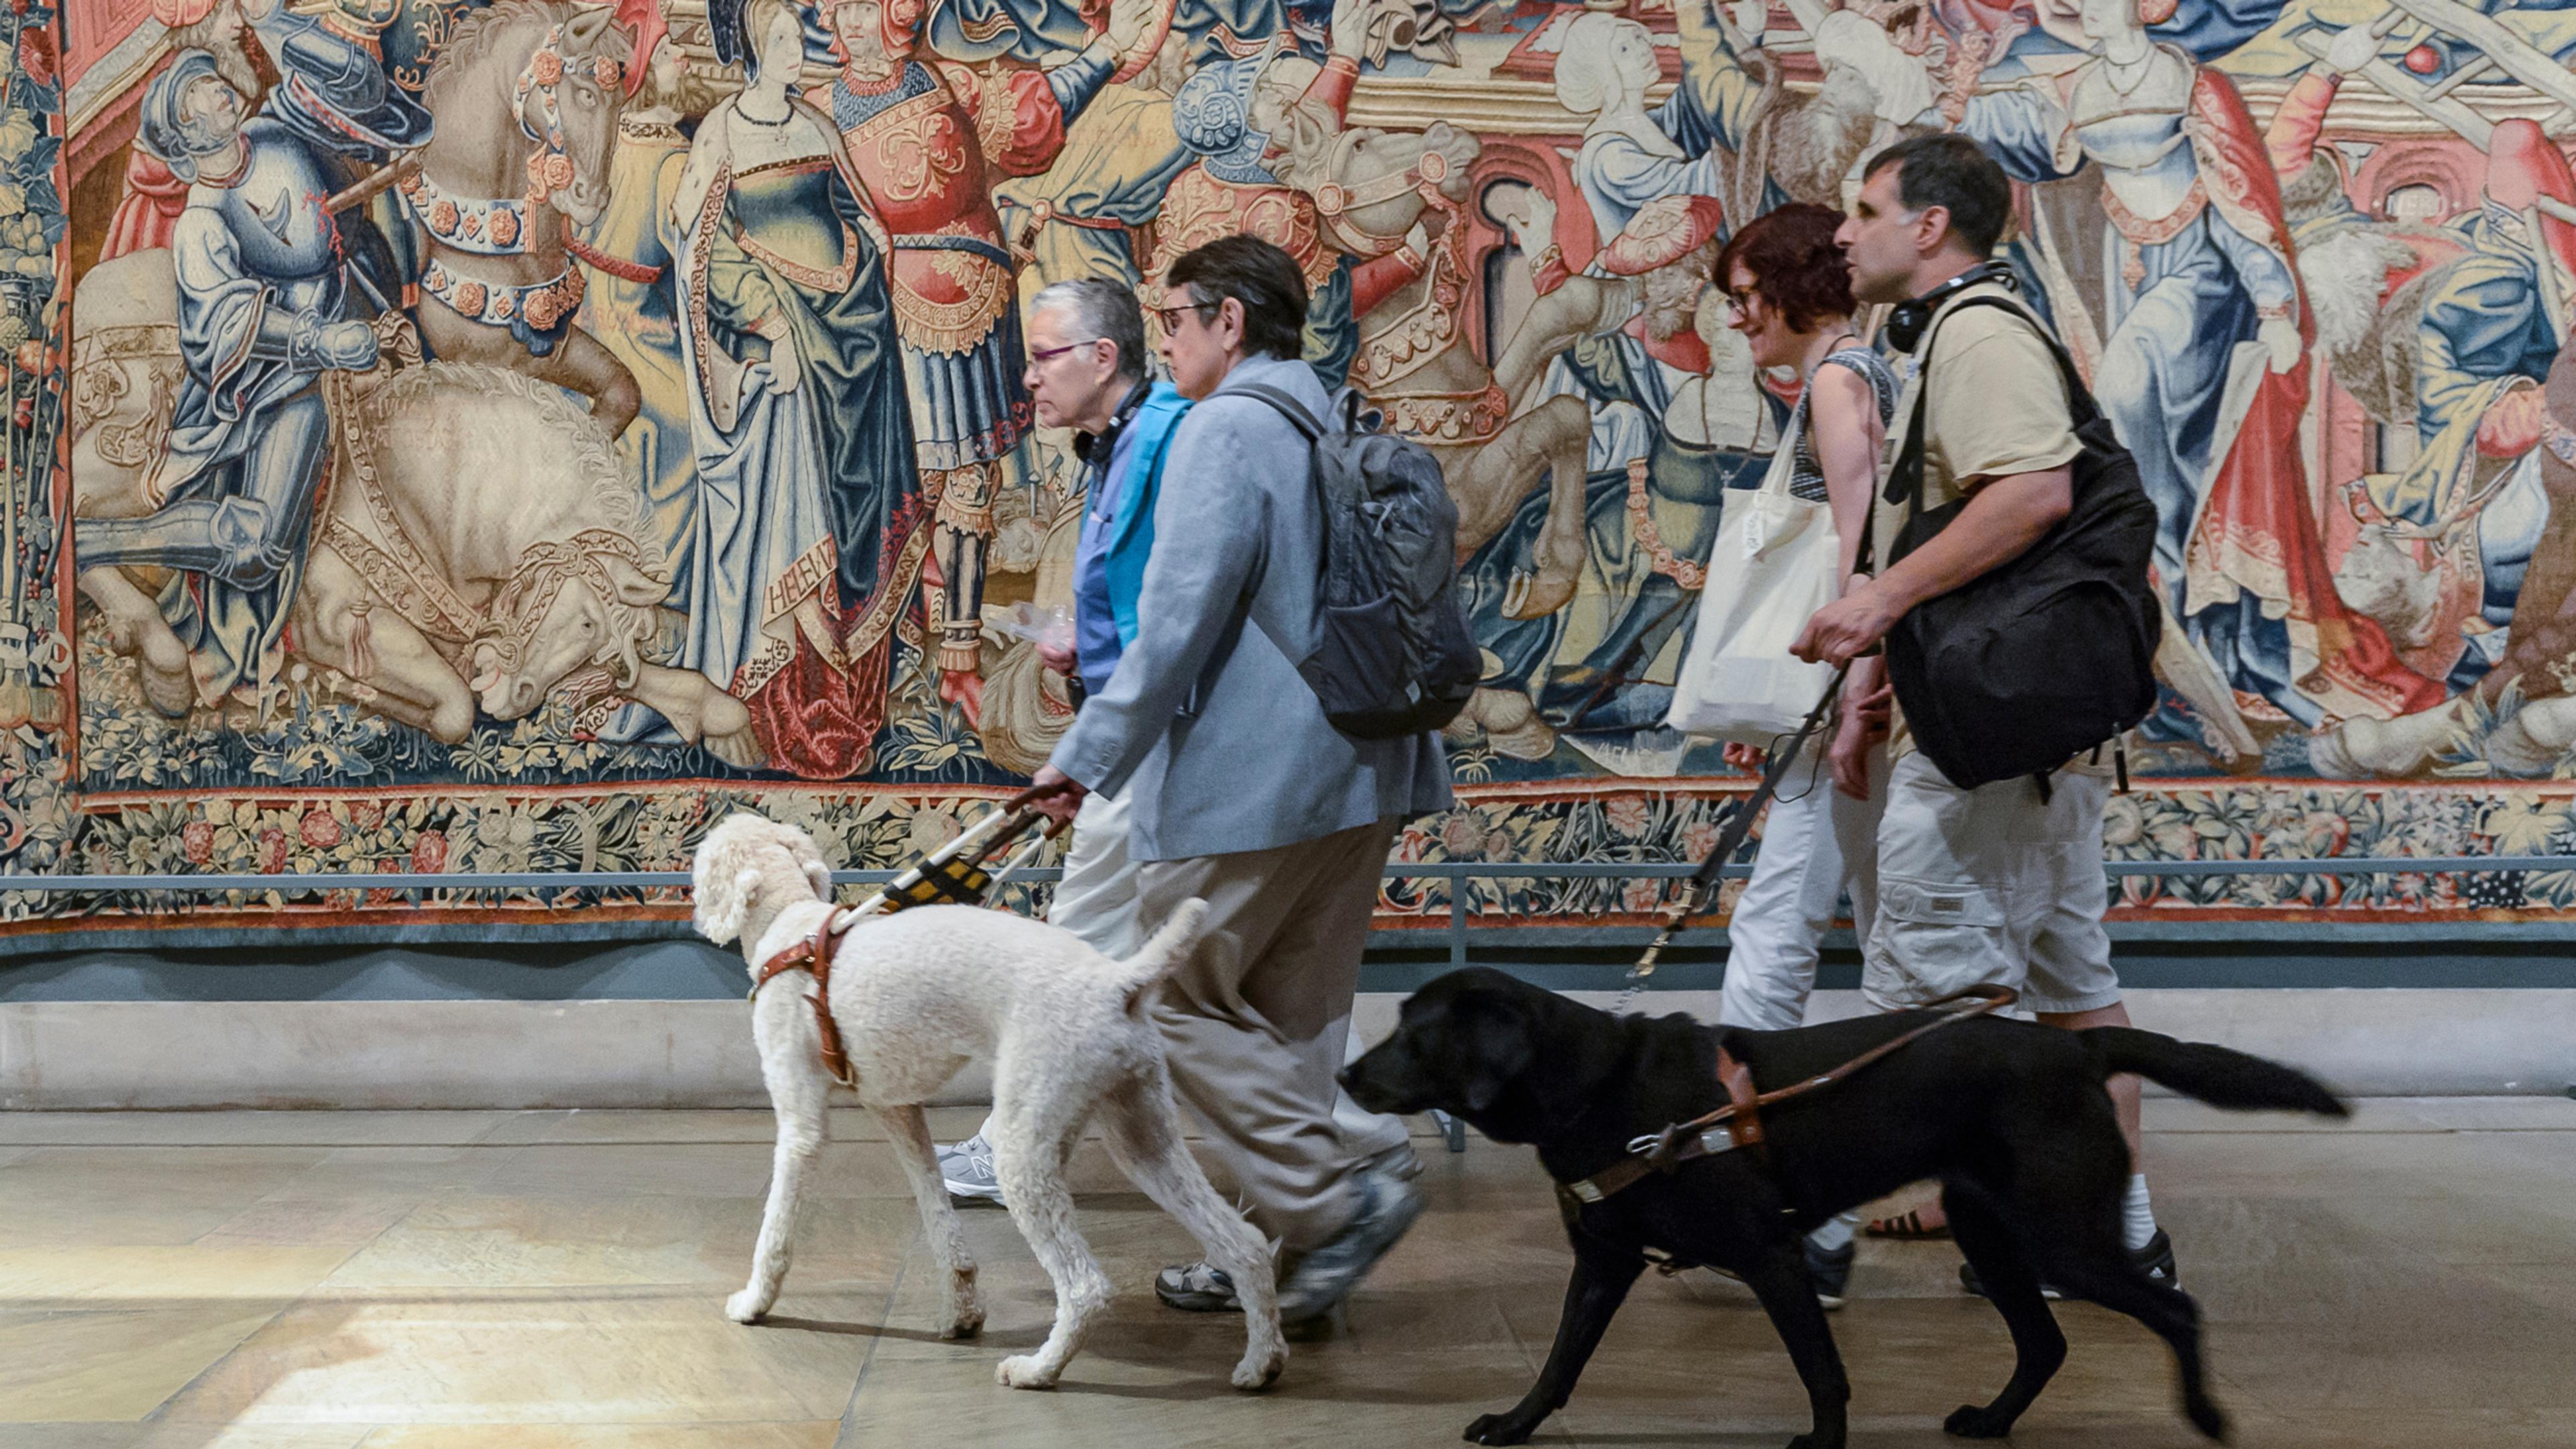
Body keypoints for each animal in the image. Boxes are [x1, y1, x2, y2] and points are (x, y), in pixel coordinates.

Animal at [695, 814, 1288, 1392]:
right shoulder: (901, 1112)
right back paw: (1261, 1364)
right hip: (1144, 1136)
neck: (791, 926)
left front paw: (754, 1303)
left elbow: (775, 1231)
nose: (696, 910)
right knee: (1247, 1245)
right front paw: (962, 1313)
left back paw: (1038, 1370)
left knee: (1086, 1287)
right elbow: (939, 1215)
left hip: (1025, 1151)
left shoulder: (801, 1127)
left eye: (699, 869)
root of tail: (1117, 981)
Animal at [1350, 964, 2359, 1444]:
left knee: (2175, 1310)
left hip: (2060, 1236)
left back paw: (2208, 1418)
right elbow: (1560, 1362)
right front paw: (1515, 1427)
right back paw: (1993, 1424)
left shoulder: (1769, 1255)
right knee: (2046, 1342)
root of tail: (2077, 1049)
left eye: (1412, 1037)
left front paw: (1823, 1442)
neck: (1600, 1088)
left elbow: (1821, 1370)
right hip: (1995, 1234)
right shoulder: (1602, 1264)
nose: (1348, 1073)